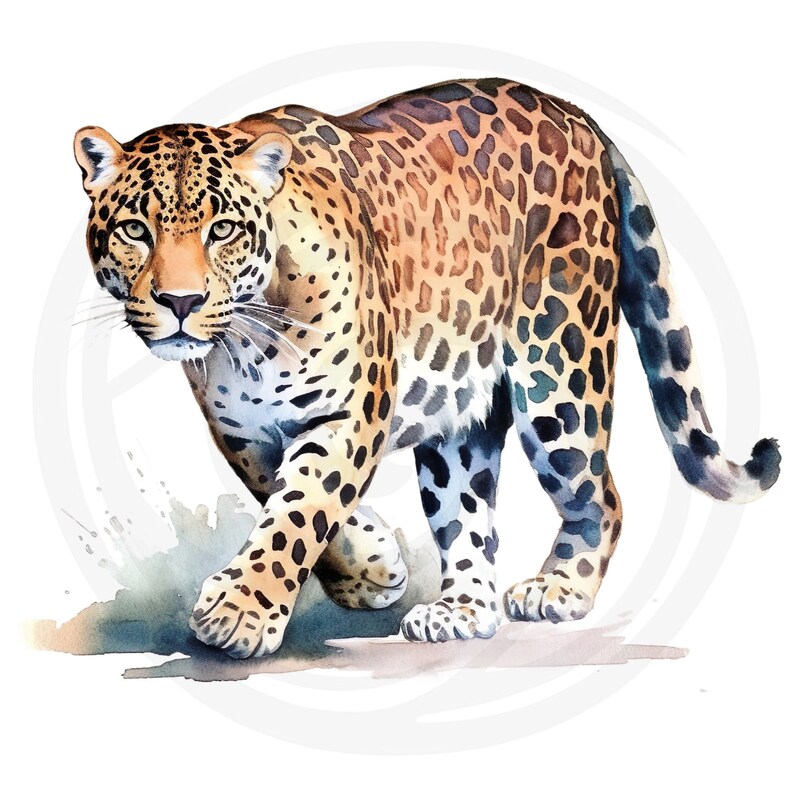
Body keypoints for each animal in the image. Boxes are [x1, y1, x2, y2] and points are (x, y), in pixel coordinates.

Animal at [73, 78, 781, 658]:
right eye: (135, 230)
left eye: (221, 230)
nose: (181, 302)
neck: (245, 342)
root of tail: (577, 115)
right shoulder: (243, 432)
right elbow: (291, 497)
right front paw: (371, 569)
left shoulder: (351, 410)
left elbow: (301, 511)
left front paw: (241, 612)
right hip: (458, 420)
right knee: (468, 515)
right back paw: (461, 611)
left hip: (559, 375)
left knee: (600, 495)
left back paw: (559, 589)